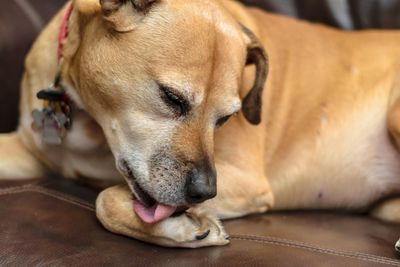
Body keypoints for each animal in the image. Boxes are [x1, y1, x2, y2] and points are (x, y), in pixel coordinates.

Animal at [0, 0, 400, 249]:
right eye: (172, 98)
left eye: (226, 118)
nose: (204, 193)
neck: (87, 115)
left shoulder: (246, 180)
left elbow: (105, 199)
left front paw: (181, 226)